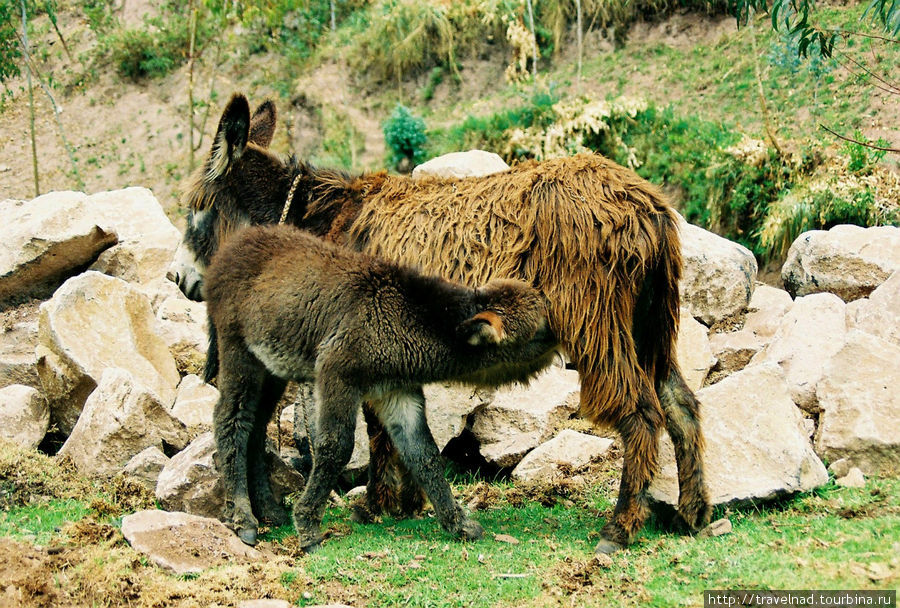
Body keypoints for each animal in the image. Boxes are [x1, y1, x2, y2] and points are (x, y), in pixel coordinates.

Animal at [204, 223, 560, 548]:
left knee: (256, 430)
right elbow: (336, 446)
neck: (403, 314)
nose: (560, 338)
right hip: (239, 355)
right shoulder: (337, 375)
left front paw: (459, 524)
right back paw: (243, 520)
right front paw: (308, 527)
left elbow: (424, 454)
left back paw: (269, 512)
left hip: (273, 371)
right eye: (535, 331)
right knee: (231, 420)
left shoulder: (397, 394)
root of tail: (228, 251)